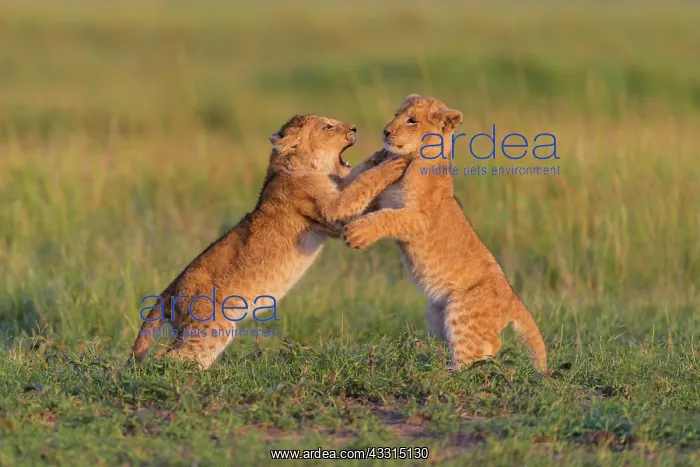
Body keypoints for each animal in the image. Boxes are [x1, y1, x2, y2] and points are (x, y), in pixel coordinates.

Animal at [132, 114, 410, 369]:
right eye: (328, 126)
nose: (354, 128)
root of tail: (168, 291)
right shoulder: (334, 211)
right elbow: (363, 183)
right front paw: (396, 162)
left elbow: (358, 174)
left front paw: (380, 154)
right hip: (210, 326)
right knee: (169, 357)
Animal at [342, 95, 547, 371]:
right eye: (397, 115)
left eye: (412, 120)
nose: (386, 131)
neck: (415, 159)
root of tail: (513, 299)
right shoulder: (379, 201)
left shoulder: (419, 219)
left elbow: (387, 217)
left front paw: (357, 233)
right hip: (435, 313)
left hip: (461, 312)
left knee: (477, 352)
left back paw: (446, 373)